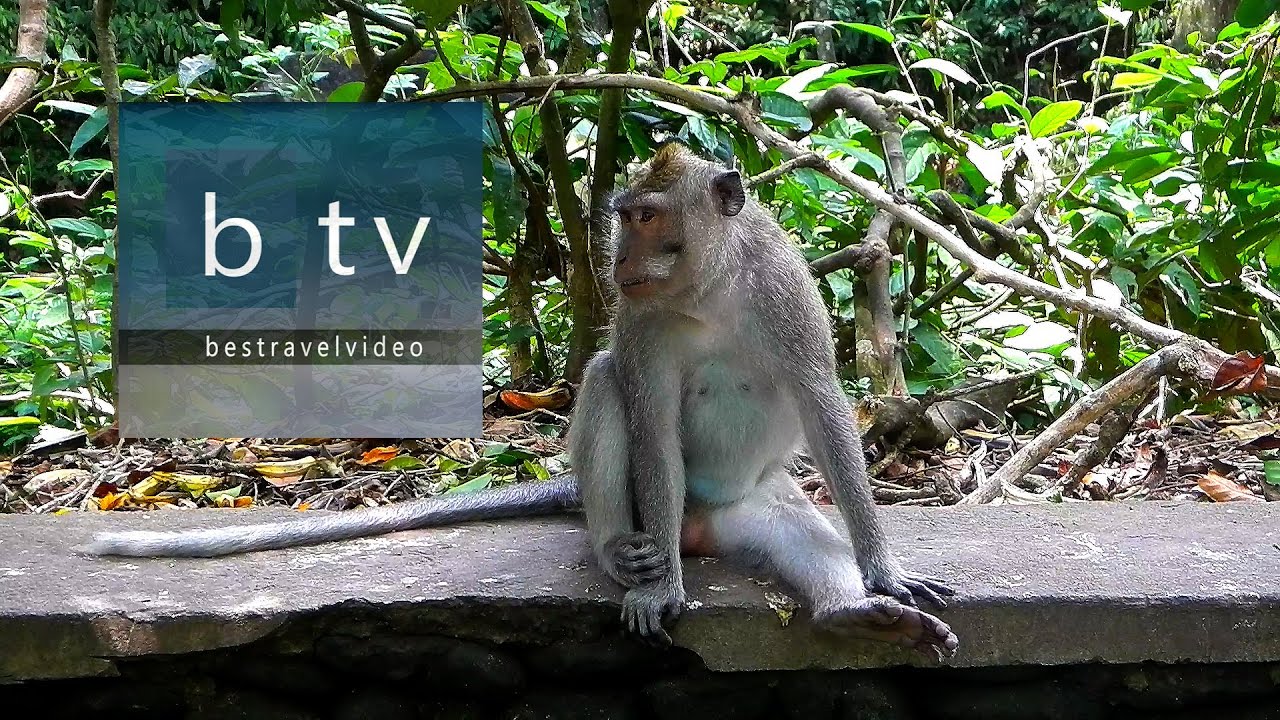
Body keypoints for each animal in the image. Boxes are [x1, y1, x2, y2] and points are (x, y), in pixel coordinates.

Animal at [85, 143, 957, 659]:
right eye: (623, 218)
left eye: (648, 217)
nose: (617, 258)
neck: (707, 291)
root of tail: (702, 527)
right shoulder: (640, 319)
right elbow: (644, 413)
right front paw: (660, 590)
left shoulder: (784, 288)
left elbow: (821, 402)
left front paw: (883, 572)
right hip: (661, 507)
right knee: (605, 385)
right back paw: (622, 554)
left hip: (750, 508)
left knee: (799, 531)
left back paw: (853, 611)